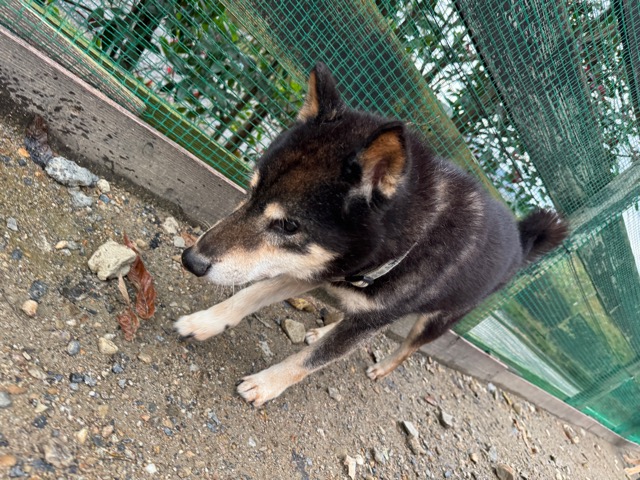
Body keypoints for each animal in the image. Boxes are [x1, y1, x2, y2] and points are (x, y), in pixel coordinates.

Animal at [175, 62, 568, 407]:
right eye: (252, 189)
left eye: (288, 225)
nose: (190, 260)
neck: (407, 245)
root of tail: (521, 240)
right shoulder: (318, 267)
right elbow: (253, 293)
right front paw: (205, 321)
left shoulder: (364, 307)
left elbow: (313, 359)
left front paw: (265, 384)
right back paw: (323, 329)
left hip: (438, 319)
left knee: (408, 348)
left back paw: (382, 368)